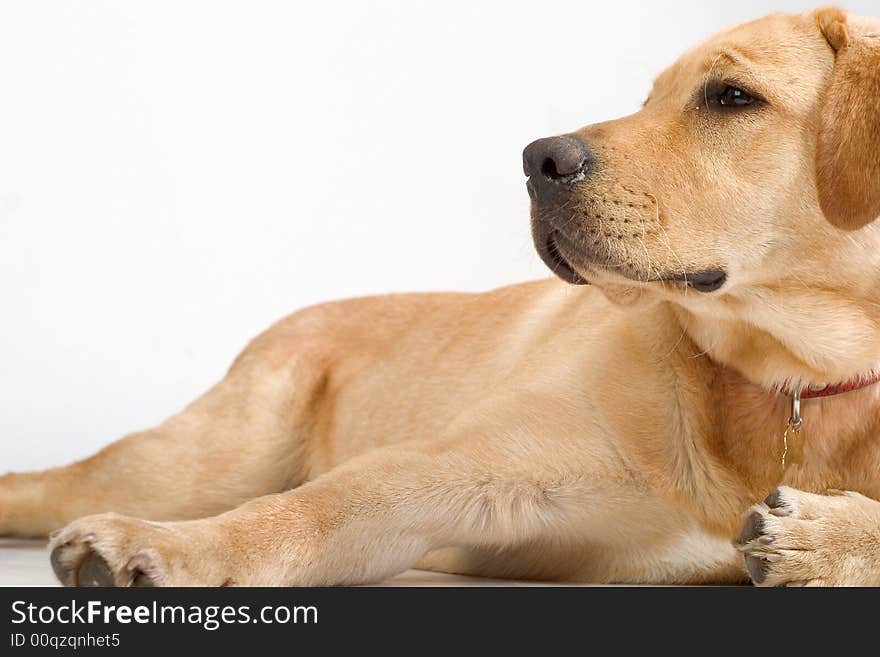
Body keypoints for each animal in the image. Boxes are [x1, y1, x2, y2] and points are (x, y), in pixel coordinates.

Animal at [1, 7, 880, 588]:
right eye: (647, 99)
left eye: (731, 96)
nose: (538, 159)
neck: (790, 384)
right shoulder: (468, 473)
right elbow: (306, 511)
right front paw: (180, 550)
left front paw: (829, 536)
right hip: (191, 463)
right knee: (47, 486)